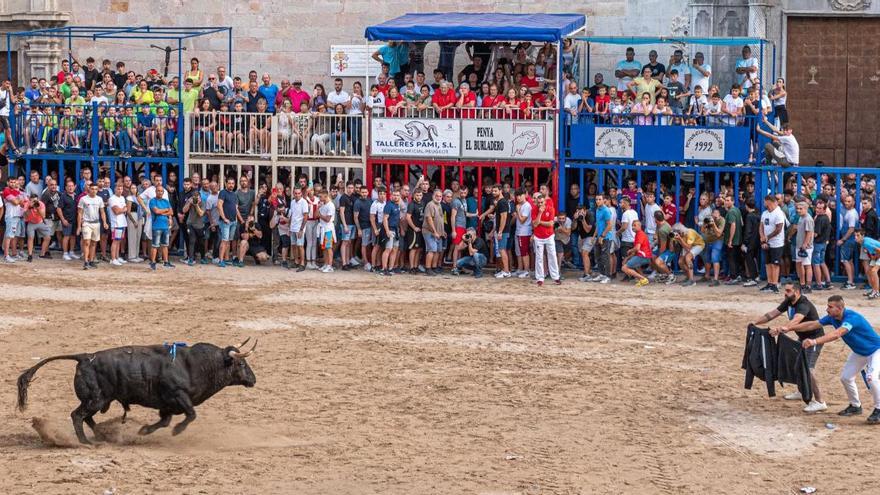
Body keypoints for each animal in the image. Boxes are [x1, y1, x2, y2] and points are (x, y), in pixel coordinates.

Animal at [15, 340, 256, 446]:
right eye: (241, 363)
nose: (253, 380)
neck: (196, 365)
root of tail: (85, 357)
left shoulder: (167, 406)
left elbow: (164, 421)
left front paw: (144, 430)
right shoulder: (178, 396)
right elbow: (191, 415)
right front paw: (177, 431)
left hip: (99, 400)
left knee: (87, 418)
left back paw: (102, 435)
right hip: (95, 399)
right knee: (77, 416)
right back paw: (85, 442)